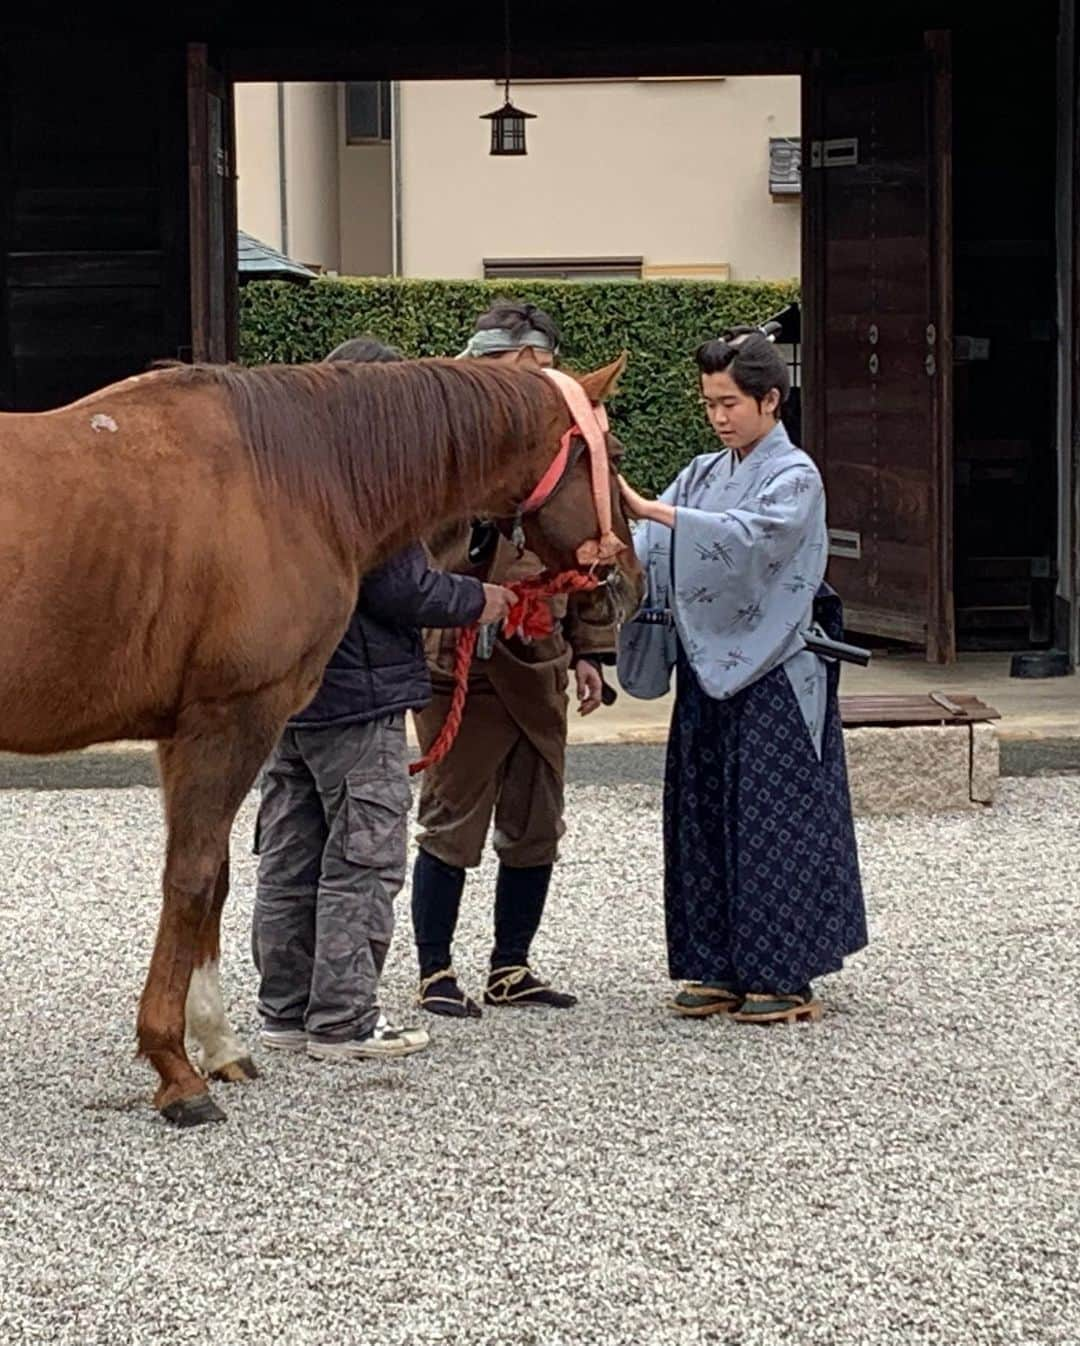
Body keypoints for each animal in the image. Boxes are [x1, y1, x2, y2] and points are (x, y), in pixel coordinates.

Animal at [0, 355, 640, 1125]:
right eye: (614, 455)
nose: (630, 583)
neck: (288, 475)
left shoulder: (187, 733)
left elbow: (214, 877)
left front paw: (218, 1043)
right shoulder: (232, 718)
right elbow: (190, 879)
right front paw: (175, 1068)